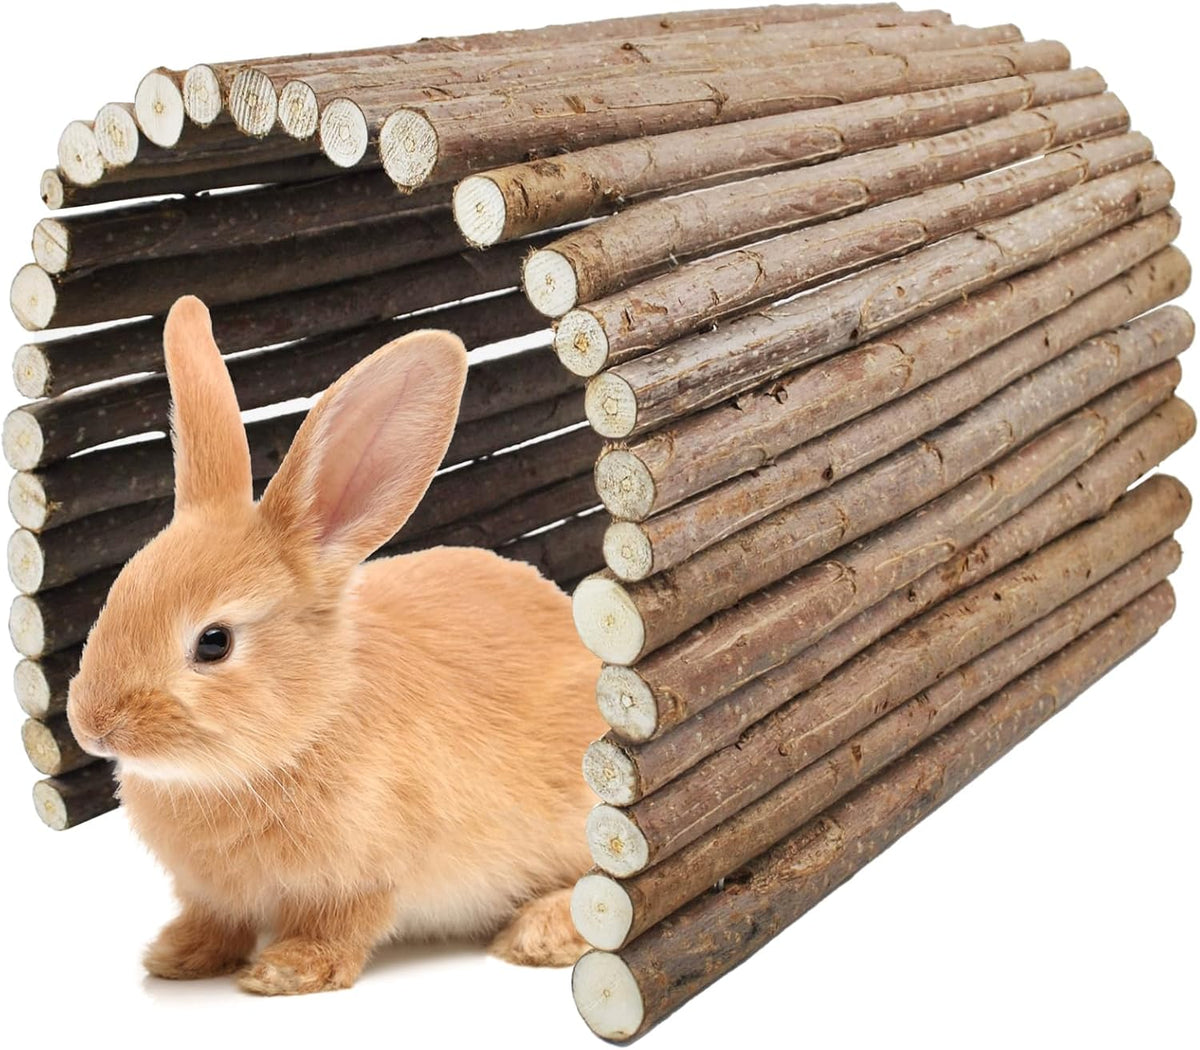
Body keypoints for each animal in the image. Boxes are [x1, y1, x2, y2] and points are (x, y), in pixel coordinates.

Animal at [66, 295, 605, 995]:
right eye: (117, 593)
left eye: (214, 643)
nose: (92, 728)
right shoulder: (211, 893)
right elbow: (215, 920)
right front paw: (177, 957)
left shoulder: (363, 876)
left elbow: (341, 926)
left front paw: (285, 972)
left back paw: (538, 935)